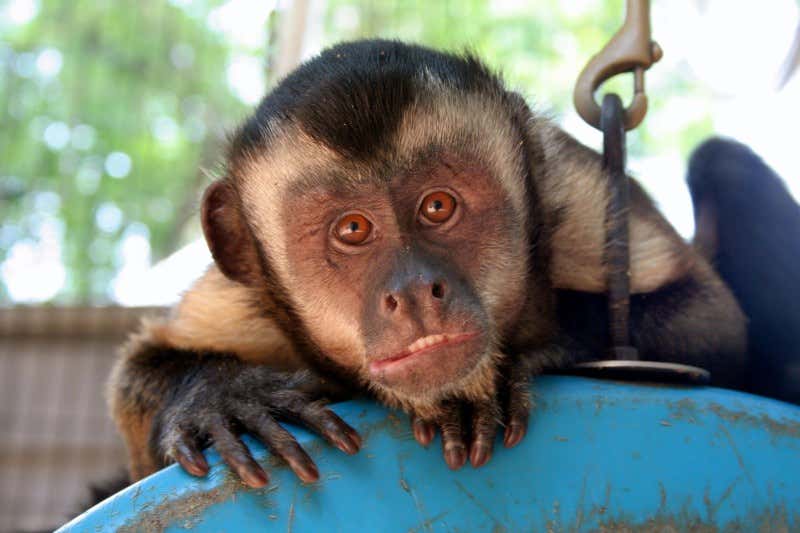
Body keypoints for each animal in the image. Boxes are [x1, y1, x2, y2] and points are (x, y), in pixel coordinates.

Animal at [107, 39, 750, 491]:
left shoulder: (576, 192)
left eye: (438, 206)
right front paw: (224, 397)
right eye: (353, 230)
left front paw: (515, 361)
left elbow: (714, 322)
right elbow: (137, 387)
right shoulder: (244, 295)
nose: (416, 290)